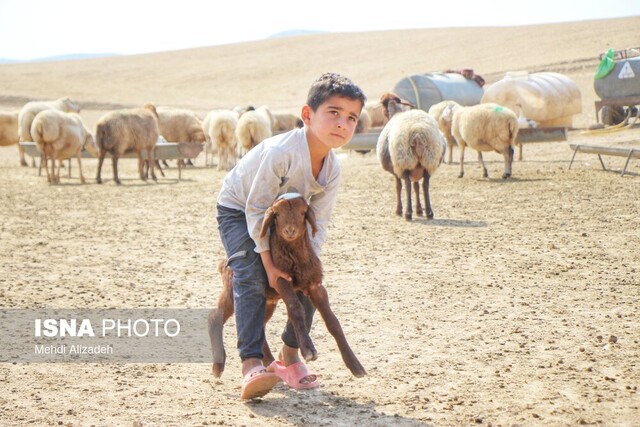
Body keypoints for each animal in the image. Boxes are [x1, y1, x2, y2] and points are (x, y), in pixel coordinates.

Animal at [209, 196, 364, 380]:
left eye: (303, 212)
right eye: (277, 214)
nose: (290, 230)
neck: (295, 255)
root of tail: (224, 262)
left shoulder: (315, 285)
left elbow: (332, 321)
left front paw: (355, 365)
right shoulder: (280, 279)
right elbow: (295, 308)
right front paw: (308, 350)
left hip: (268, 301)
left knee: (260, 325)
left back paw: (270, 362)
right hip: (232, 289)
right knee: (215, 316)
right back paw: (219, 366)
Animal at [376, 93, 444, 221]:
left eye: (382, 104)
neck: (395, 112)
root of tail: (418, 134)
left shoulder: (396, 169)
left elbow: (398, 187)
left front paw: (399, 210)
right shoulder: (416, 169)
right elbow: (416, 187)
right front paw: (419, 210)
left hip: (404, 160)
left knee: (407, 185)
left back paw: (407, 213)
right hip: (428, 160)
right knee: (425, 185)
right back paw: (429, 212)